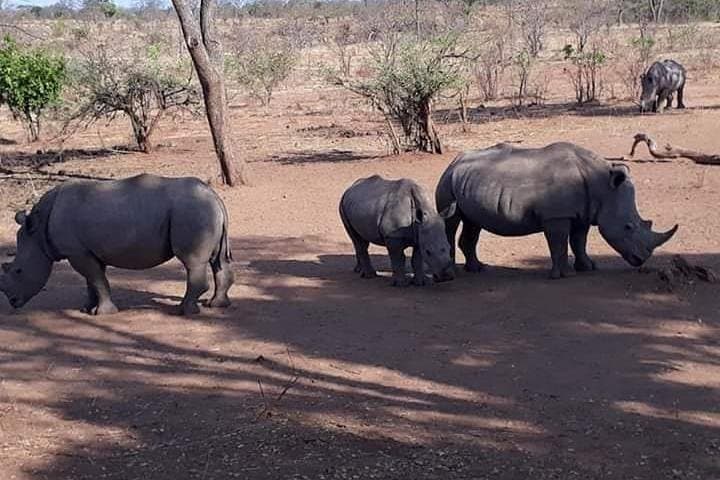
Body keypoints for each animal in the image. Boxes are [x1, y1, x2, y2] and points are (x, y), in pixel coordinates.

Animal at [0, 174, 234, 315]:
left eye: (18, 271)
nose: (13, 302)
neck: (38, 232)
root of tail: (215, 196)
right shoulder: (86, 251)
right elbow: (92, 281)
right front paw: (86, 309)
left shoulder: (77, 252)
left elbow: (97, 280)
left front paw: (102, 313)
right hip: (202, 210)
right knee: (218, 260)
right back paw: (216, 305)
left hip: (191, 210)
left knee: (192, 262)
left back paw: (183, 311)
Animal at [435, 142, 678, 279]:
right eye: (628, 227)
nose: (642, 259)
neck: (602, 185)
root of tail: (455, 160)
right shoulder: (557, 216)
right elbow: (559, 242)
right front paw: (562, 275)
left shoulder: (582, 213)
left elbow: (579, 241)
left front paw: (588, 267)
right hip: (447, 179)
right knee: (451, 222)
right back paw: (453, 272)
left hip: (467, 180)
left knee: (473, 223)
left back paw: (478, 269)